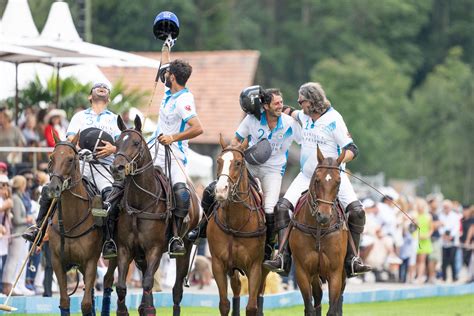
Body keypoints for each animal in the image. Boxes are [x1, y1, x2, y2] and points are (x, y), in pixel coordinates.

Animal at [47, 132, 116, 314]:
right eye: (51, 157)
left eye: (71, 159)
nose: (53, 188)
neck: (71, 222)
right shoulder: (57, 261)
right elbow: (65, 301)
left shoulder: (91, 260)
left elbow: (85, 304)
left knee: (108, 281)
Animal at [109, 116, 200, 316]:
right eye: (116, 142)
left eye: (136, 143)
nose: (116, 168)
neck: (139, 204)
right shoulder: (125, 248)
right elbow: (121, 286)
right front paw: (125, 310)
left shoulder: (155, 248)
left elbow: (148, 282)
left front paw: (149, 309)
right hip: (140, 255)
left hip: (185, 247)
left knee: (177, 289)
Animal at [208, 136, 270, 316]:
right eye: (219, 160)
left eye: (238, 162)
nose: (221, 190)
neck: (235, 223)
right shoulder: (218, 265)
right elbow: (224, 304)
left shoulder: (255, 266)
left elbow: (251, 307)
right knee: (236, 287)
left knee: (260, 291)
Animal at [286, 148, 350, 316]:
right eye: (317, 180)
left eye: (338, 181)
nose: (324, 215)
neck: (319, 230)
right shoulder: (302, 271)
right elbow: (310, 307)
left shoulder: (335, 271)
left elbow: (333, 308)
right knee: (318, 297)